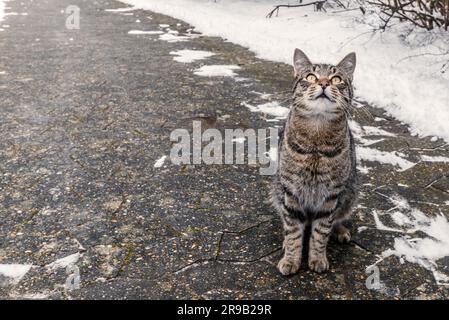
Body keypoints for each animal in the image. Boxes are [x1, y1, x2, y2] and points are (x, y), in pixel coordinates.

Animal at [270, 48, 356, 276]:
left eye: (336, 79)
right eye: (310, 77)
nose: (324, 83)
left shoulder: (331, 195)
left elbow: (321, 232)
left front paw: (317, 258)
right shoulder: (291, 191)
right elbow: (293, 232)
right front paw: (291, 258)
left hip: (351, 192)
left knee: (337, 218)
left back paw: (340, 230)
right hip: (277, 189)